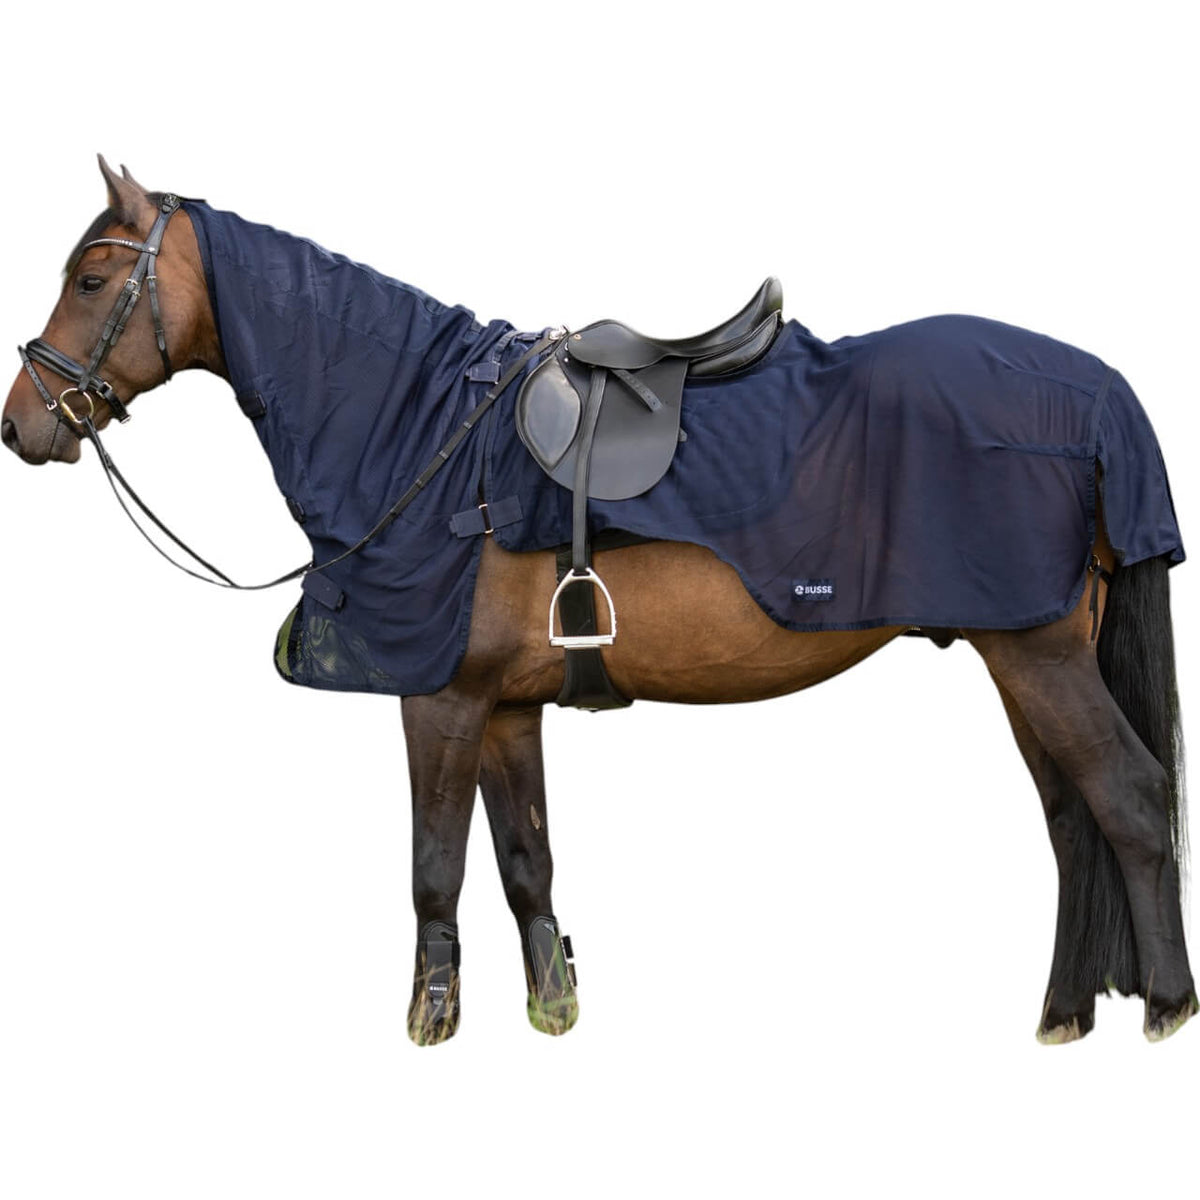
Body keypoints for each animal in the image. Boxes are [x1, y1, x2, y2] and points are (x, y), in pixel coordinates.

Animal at [3, 157, 1195, 1046]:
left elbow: (433, 866)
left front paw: (430, 1021)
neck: (423, 428)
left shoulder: (437, 699)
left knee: (1130, 800)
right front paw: (554, 1008)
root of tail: (1098, 392)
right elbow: (526, 860)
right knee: (1072, 821)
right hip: (1030, 655)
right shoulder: (504, 705)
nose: (24, 422)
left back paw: (1166, 1009)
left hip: (1035, 652)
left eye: (94, 281)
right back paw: (1064, 1012)